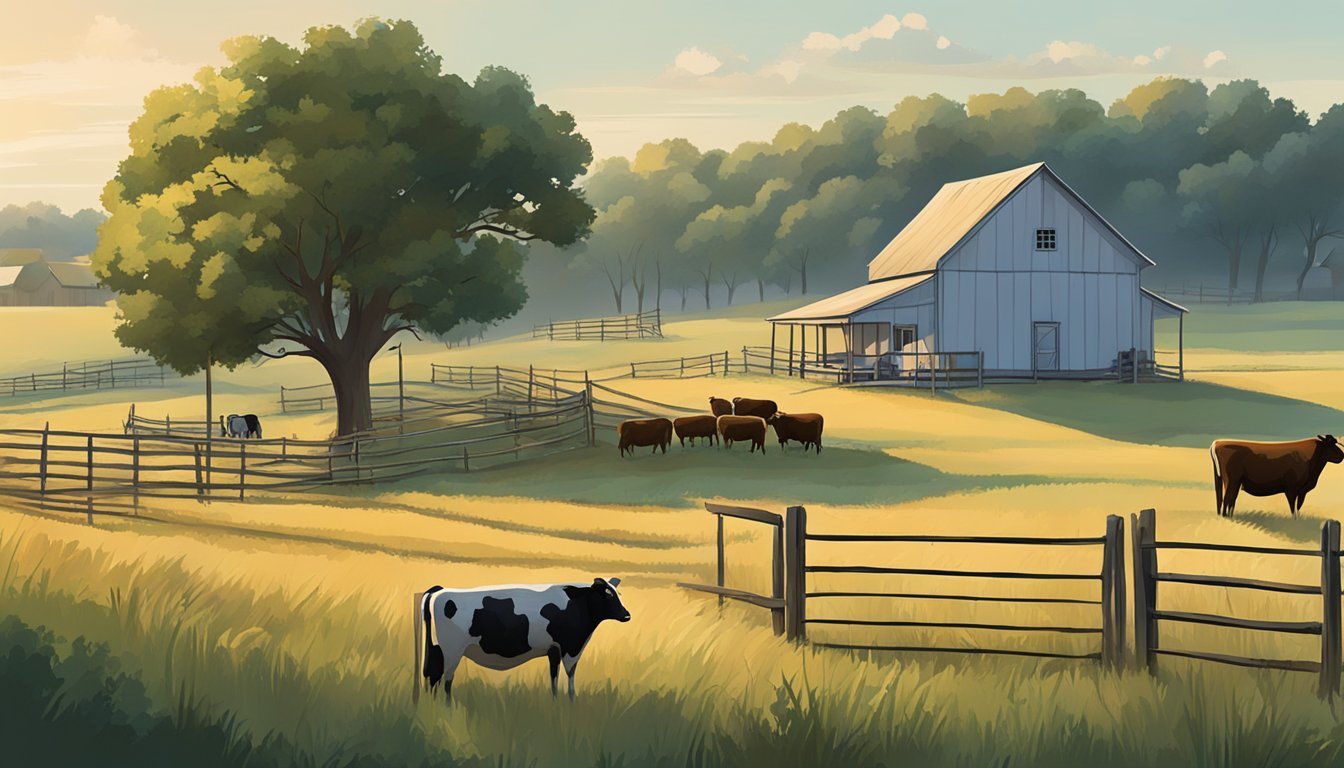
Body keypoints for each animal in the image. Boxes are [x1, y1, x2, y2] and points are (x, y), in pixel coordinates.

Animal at [419, 583, 628, 704]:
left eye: (619, 593)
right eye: (608, 594)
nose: (627, 615)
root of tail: (439, 590)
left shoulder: (554, 649)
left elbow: (554, 676)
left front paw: (556, 702)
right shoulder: (569, 648)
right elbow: (570, 675)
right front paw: (571, 702)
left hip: (437, 650)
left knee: (432, 677)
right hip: (451, 650)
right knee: (445, 680)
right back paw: (446, 708)